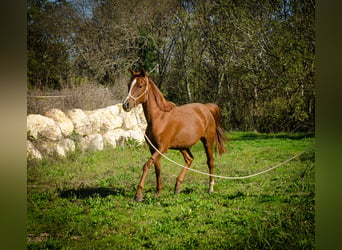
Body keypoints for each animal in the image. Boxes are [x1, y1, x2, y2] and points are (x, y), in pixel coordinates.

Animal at [121, 67, 226, 201]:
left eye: (140, 85)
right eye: (129, 85)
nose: (126, 105)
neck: (159, 118)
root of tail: (206, 108)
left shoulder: (162, 148)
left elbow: (147, 165)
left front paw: (138, 195)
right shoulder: (154, 149)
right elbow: (157, 168)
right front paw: (158, 192)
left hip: (207, 141)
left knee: (210, 161)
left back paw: (210, 188)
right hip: (183, 146)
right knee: (189, 159)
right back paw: (177, 187)